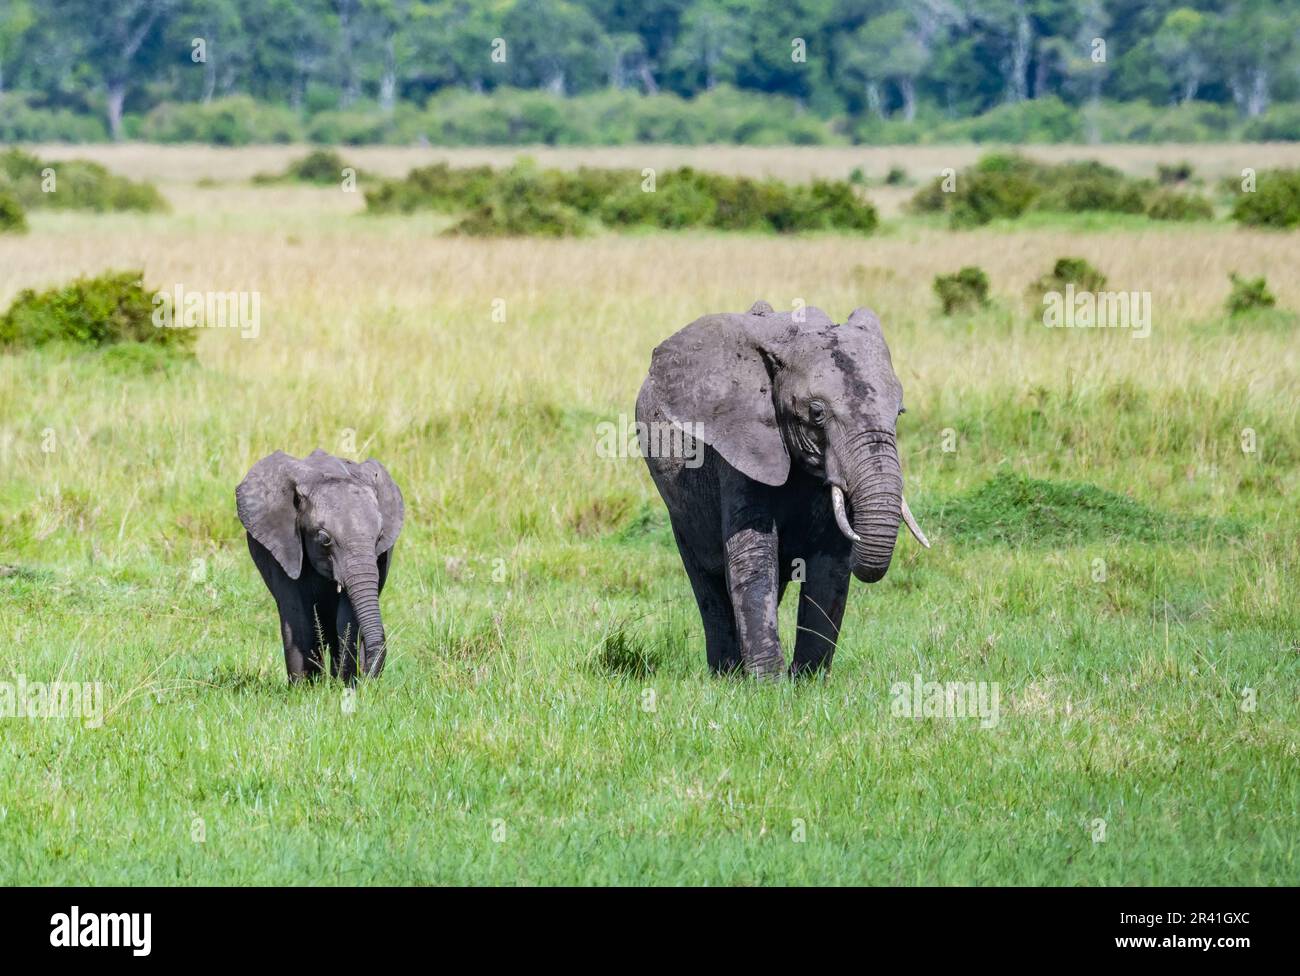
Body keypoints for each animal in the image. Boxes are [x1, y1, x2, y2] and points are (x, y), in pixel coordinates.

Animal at [237, 449, 400, 680]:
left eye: (379, 537)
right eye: (324, 539)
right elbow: (298, 614)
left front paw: (346, 683)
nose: (367, 675)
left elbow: (347, 616)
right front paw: (306, 686)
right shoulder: (284, 545)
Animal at [637, 304, 925, 680]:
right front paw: (768, 684)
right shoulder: (739, 445)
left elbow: (830, 562)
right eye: (816, 413)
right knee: (705, 578)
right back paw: (726, 674)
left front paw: (806, 682)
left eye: (899, 413)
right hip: (679, 509)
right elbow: (754, 555)